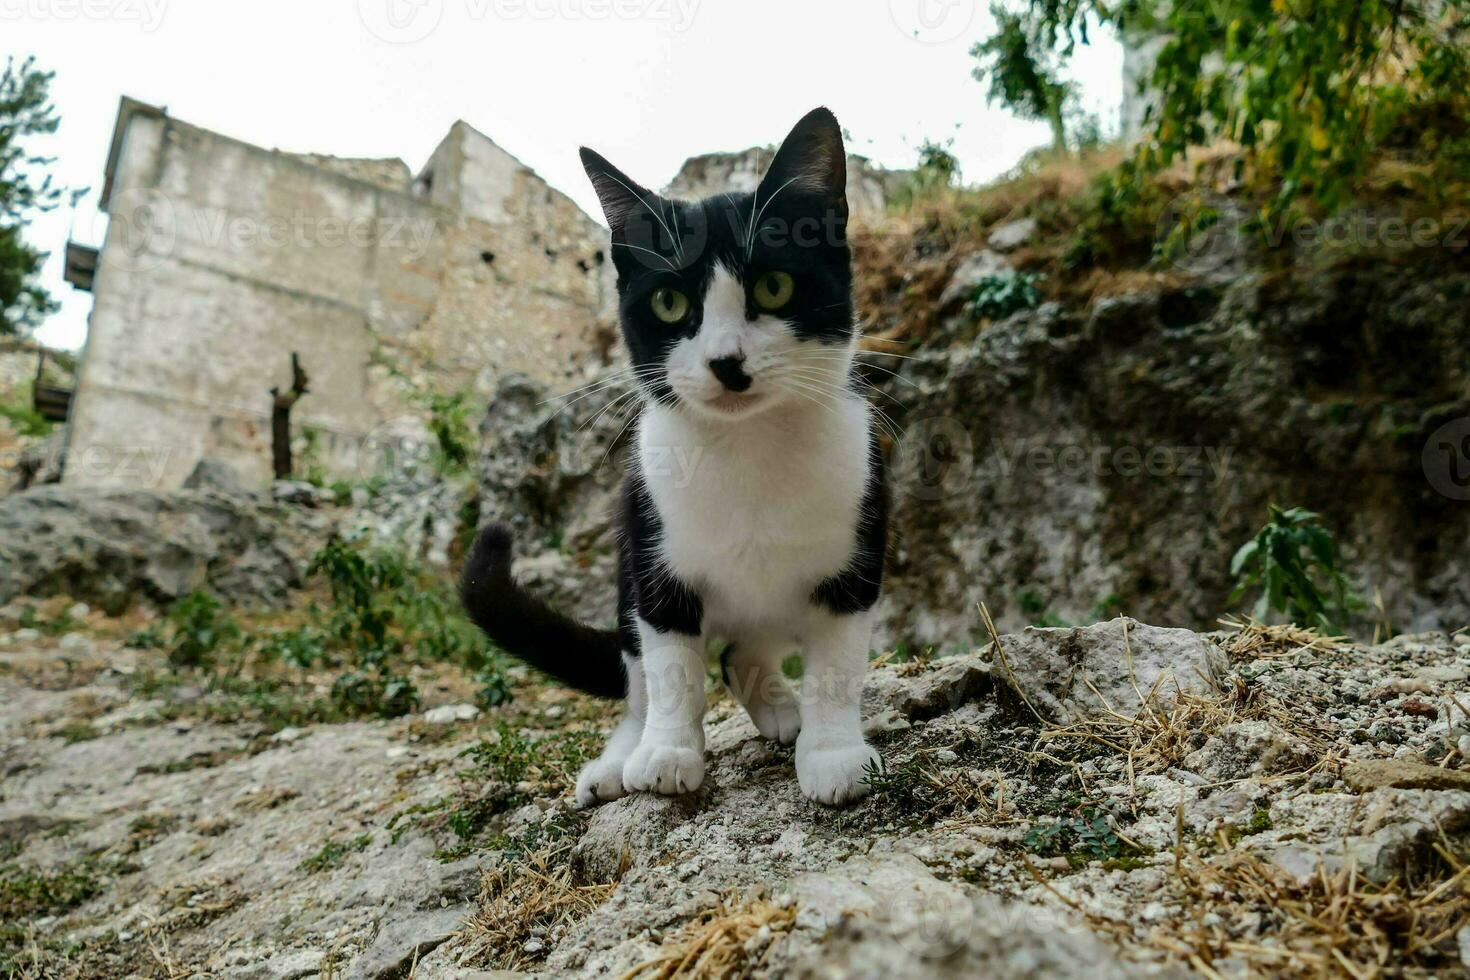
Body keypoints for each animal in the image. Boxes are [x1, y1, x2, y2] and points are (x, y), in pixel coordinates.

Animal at [458, 109, 887, 805]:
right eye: (669, 303)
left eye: (774, 286)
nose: (726, 361)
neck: (746, 451)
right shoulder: (653, 558)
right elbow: (670, 671)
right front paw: (666, 753)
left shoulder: (856, 547)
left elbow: (836, 665)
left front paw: (834, 754)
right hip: (627, 571)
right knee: (642, 678)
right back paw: (619, 761)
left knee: (741, 650)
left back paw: (781, 708)